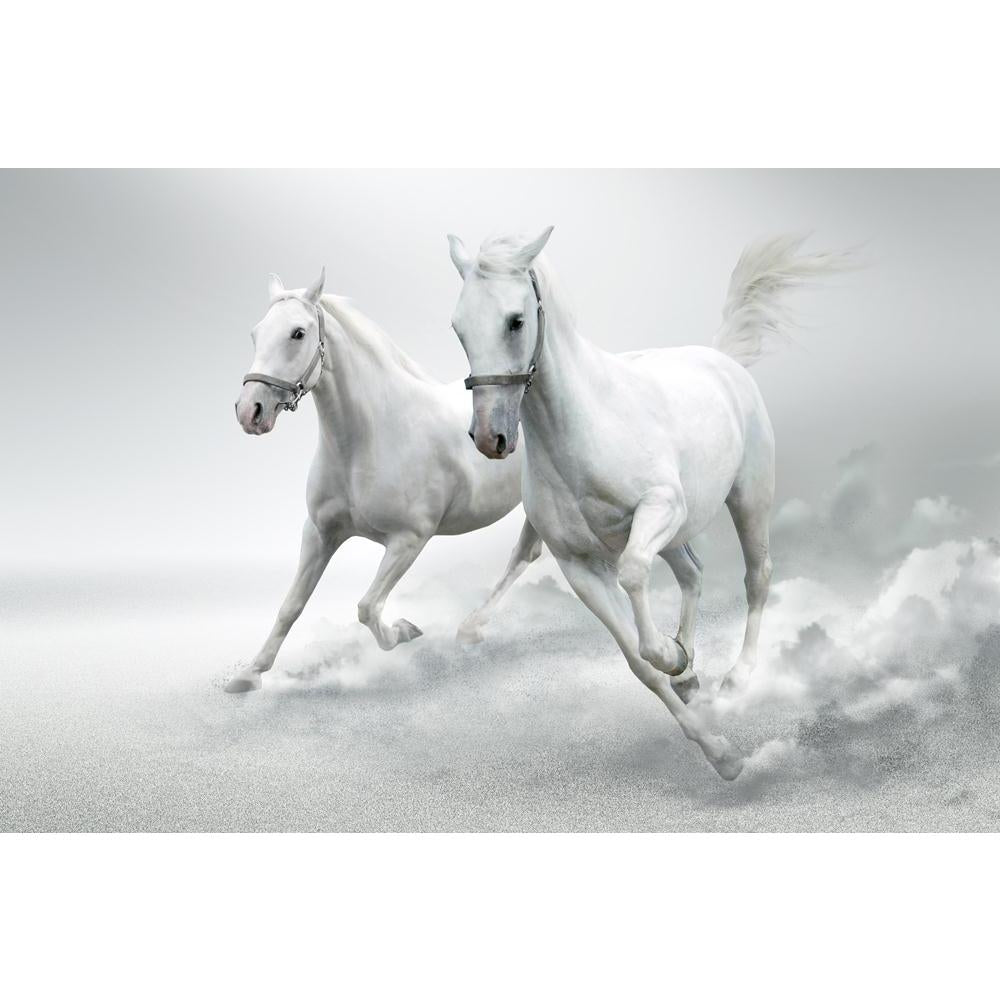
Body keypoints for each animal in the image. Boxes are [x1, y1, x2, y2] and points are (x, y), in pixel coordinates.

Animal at [225, 269, 542, 693]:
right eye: (256, 333)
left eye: (298, 333)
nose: (250, 411)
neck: (370, 438)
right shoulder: (320, 534)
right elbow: (291, 606)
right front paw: (249, 674)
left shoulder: (409, 540)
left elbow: (367, 607)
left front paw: (405, 630)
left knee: (524, 554)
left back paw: (471, 627)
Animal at [447, 230, 849, 778]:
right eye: (458, 328)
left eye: (515, 320)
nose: (490, 438)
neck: (585, 428)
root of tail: (721, 360)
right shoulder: (579, 566)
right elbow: (639, 664)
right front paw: (717, 748)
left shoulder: (660, 508)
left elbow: (635, 574)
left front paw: (671, 655)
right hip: (679, 534)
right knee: (694, 573)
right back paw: (692, 674)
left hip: (748, 497)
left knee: (757, 576)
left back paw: (737, 678)